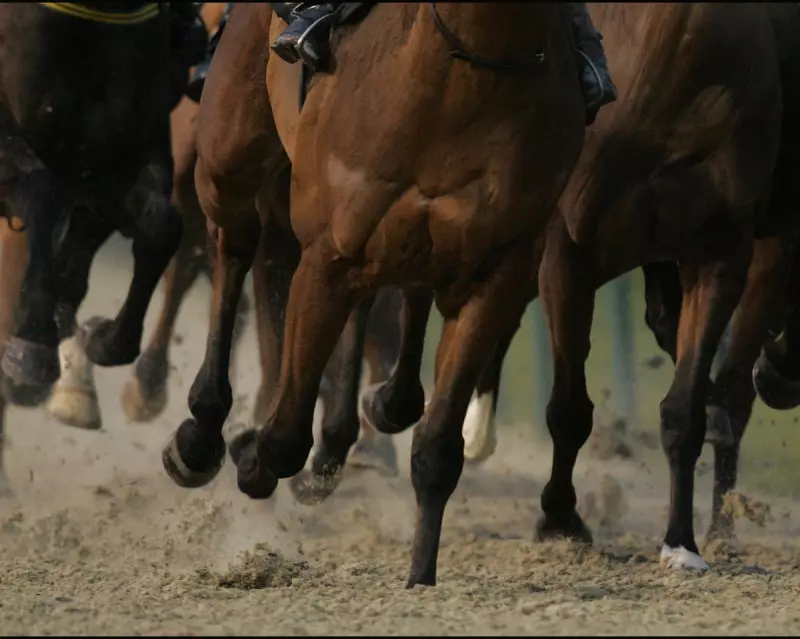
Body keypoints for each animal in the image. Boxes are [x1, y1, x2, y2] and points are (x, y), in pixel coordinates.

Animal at [161, 2, 586, 588]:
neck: (469, 69)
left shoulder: (495, 275)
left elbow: (438, 449)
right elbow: (286, 436)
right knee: (232, 248)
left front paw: (421, 576)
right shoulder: (328, 257)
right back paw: (200, 436)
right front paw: (251, 454)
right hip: (230, 151)